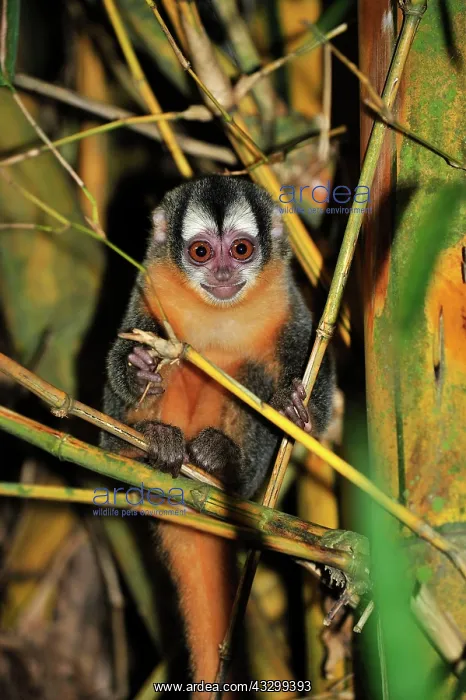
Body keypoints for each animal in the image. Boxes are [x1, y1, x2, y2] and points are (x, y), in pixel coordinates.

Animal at [101, 175, 335, 694]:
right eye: (202, 251)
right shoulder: (148, 284)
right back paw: (147, 445)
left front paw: (298, 408)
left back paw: (218, 461)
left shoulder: (286, 297)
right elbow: (125, 351)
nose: (225, 271)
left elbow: (307, 364)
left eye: (242, 249)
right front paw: (140, 367)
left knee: (249, 375)